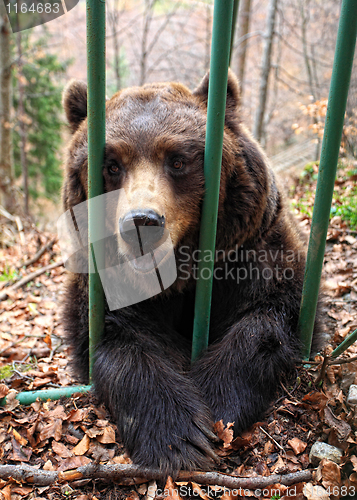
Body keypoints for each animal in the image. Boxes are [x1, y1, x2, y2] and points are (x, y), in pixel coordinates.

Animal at [61, 72, 322, 478]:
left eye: (178, 160)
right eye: (112, 165)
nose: (141, 223)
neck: (175, 277)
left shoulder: (250, 251)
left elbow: (272, 316)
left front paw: (215, 399)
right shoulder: (104, 282)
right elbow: (114, 336)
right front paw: (177, 434)